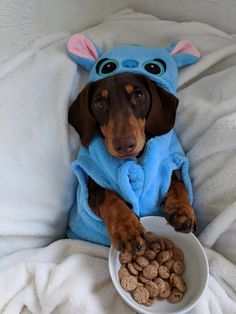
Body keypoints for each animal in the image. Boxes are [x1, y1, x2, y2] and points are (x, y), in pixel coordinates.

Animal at [68, 73, 197, 253]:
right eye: (99, 104)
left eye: (139, 96)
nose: (124, 145)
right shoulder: (93, 188)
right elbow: (109, 198)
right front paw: (127, 228)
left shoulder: (167, 168)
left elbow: (178, 183)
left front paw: (182, 209)